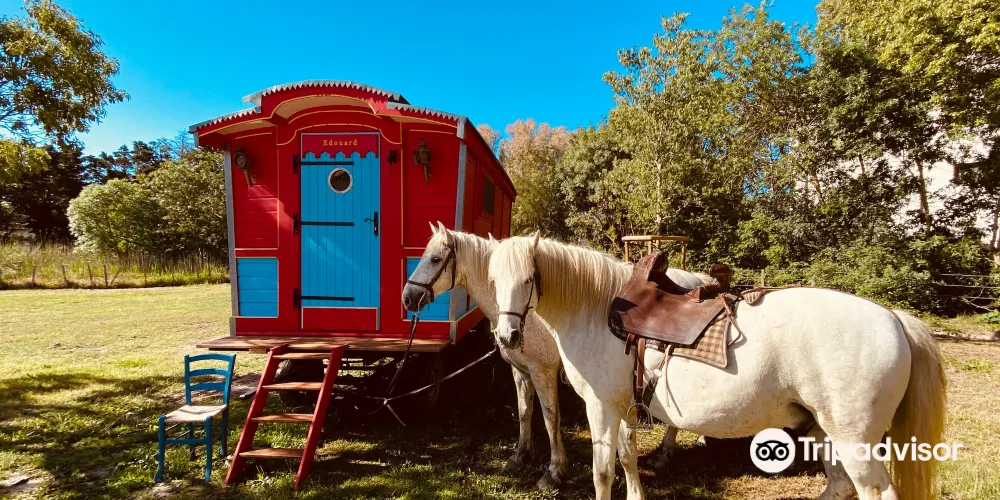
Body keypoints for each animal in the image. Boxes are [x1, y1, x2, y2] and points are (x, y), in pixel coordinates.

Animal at [401, 223, 709, 489]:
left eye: (435, 259)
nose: (408, 297)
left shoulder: (543, 371)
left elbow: (551, 418)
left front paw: (554, 471)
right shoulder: (521, 370)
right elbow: (524, 412)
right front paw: (520, 456)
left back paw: (664, 453)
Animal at [488, 233, 946, 500]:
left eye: (528, 278)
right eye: (492, 281)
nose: (508, 337)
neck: (598, 311)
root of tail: (893, 318)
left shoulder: (601, 408)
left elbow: (603, 473)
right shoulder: (623, 409)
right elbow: (628, 458)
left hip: (854, 440)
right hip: (827, 432)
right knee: (838, 486)